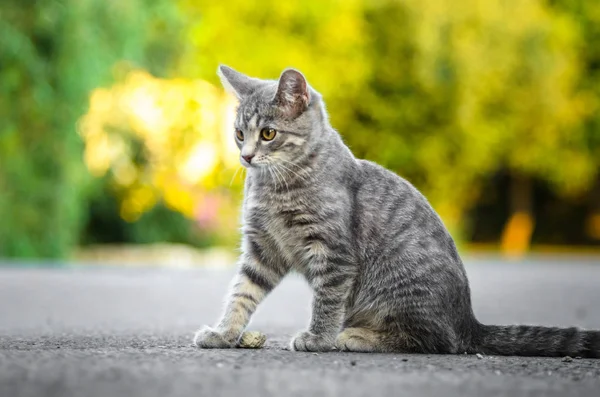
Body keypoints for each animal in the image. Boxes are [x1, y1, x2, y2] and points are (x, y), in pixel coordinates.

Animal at [195, 65, 596, 356]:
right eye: (238, 134)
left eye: (268, 134)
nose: (246, 157)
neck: (277, 186)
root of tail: (468, 321)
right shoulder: (262, 249)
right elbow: (242, 293)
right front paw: (224, 333)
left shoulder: (334, 252)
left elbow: (327, 300)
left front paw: (319, 338)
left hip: (400, 288)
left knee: (434, 341)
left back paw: (355, 336)